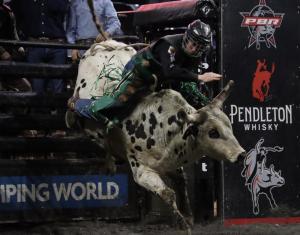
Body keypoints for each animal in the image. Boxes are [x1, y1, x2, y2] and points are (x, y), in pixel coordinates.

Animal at [69, 40, 245, 233]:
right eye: (213, 132)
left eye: (229, 126)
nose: (241, 155)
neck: (162, 127)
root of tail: (104, 44)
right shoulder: (141, 172)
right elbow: (168, 193)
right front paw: (184, 225)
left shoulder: (171, 164)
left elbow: (181, 183)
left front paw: (188, 217)